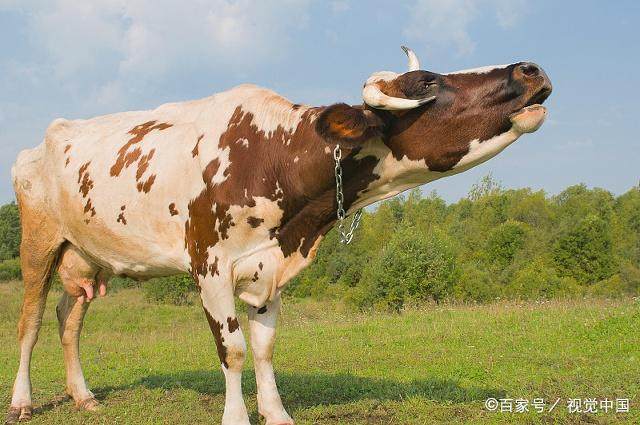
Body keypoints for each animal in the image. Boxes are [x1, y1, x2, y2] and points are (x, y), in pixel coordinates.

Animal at [6, 47, 552, 424]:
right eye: (426, 81)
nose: (530, 69)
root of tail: (41, 141)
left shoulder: (269, 266)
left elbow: (265, 348)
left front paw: (276, 413)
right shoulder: (210, 265)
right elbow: (233, 350)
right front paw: (236, 417)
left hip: (86, 252)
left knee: (69, 317)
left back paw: (83, 396)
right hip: (38, 241)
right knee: (30, 322)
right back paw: (21, 403)